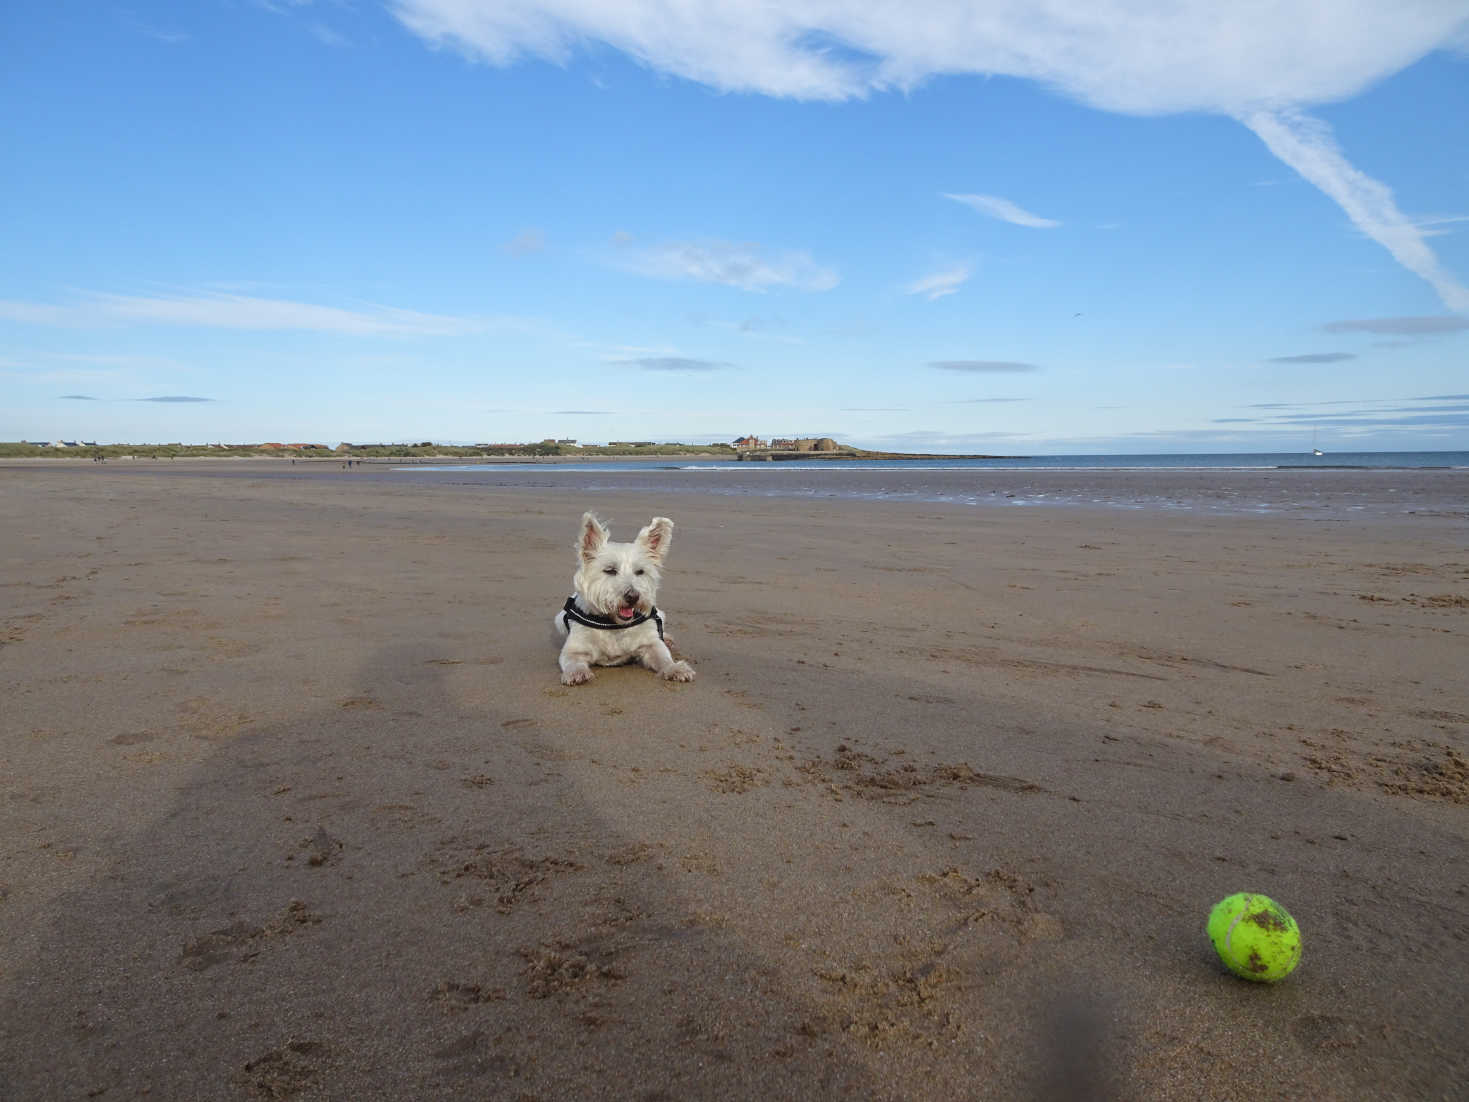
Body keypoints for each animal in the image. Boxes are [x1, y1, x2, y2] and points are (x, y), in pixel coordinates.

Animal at [552, 514, 696, 687]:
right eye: (610, 570)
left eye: (640, 571)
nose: (633, 596)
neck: (614, 625)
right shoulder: (574, 648)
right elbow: (572, 660)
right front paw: (576, 672)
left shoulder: (651, 644)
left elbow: (663, 656)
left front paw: (675, 668)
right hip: (559, 619)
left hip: (659, 614)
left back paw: (667, 638)